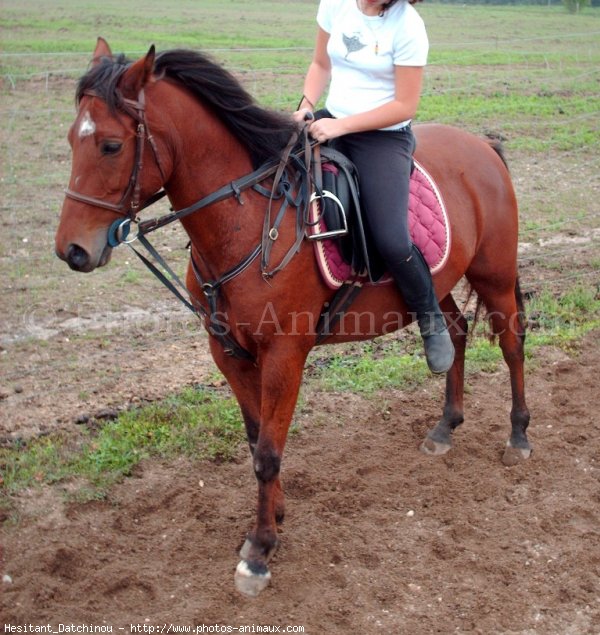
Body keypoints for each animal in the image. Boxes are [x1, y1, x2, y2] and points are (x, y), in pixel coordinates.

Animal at [52, 38, 528, 596]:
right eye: (72, 139)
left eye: (110, 145)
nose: (72, 250)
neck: (249, 222)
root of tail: (483, 147)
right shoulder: (228, 352)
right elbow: (256, 438)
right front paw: (274, 518)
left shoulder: (284, 354)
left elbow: (267, 453)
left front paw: (260, 552)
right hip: (440, 281)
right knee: (453, 334)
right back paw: (445, 427)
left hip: (494, 274)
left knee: (512, 346)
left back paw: (518, 436)